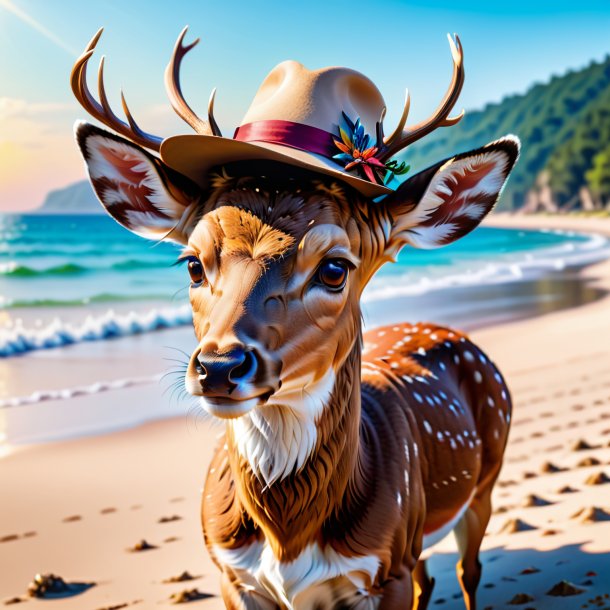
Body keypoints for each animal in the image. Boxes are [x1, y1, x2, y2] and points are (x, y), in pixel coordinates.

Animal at [71, 25, 516, 608]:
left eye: (335, 268)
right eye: (193, 263)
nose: (219, 366)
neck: (287, 542)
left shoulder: (385, 566)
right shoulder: (229, 573)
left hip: (485, 477)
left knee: (468, 571)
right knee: (434, 577)